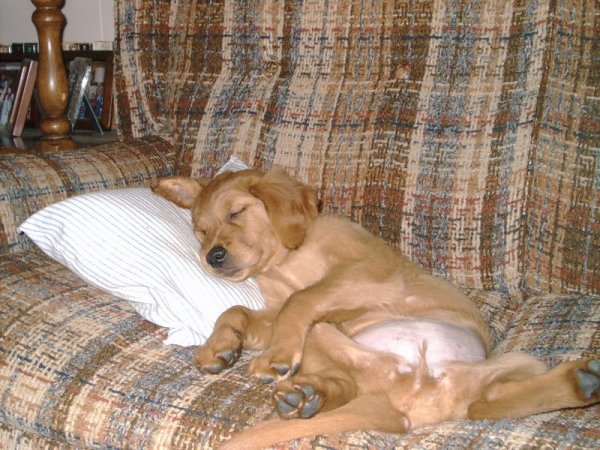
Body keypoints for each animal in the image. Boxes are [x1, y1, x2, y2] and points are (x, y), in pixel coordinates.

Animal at [152, 170, 596, 450]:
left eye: (236, 212)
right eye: (200, 230)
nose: (212, 257)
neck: (285, 262)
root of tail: (410, 407)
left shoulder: (370, 270)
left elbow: (303, 298)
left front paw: (274, 355)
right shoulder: (278, 309)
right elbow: (237, 310)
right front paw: (220, 347)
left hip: (520, 359)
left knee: (484, 404)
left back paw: (582, 380)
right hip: (329, 338)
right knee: (479, 404)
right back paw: (306, 396)